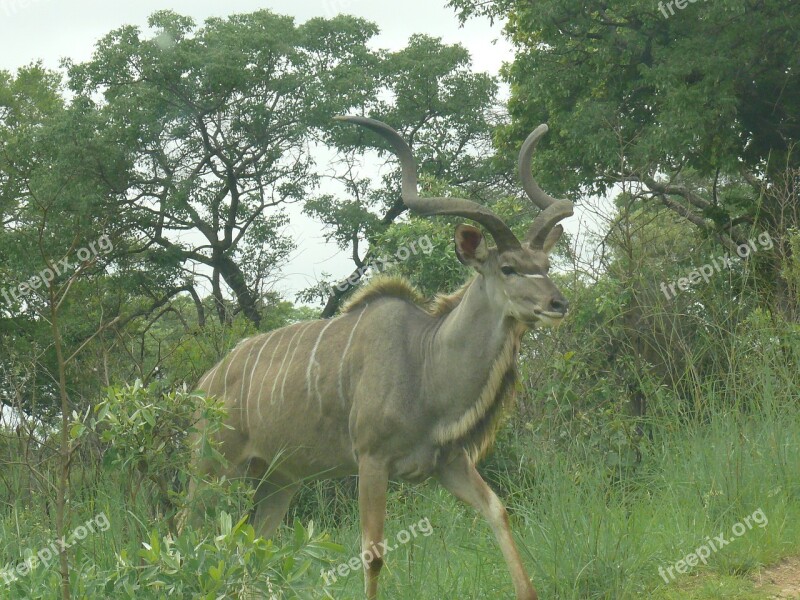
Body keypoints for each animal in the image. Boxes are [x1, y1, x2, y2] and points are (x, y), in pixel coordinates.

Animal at [190, 117, 572, 600]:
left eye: (545, 264)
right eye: (508, 268)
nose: (558, 303)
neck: (425, 361)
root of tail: (203, 385)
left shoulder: (450, 462)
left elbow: (497, 511)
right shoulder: (371, 462)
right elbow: (372, 553)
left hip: (278, 480)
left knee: (254, 548)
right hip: (211, 472)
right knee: (188, 532)